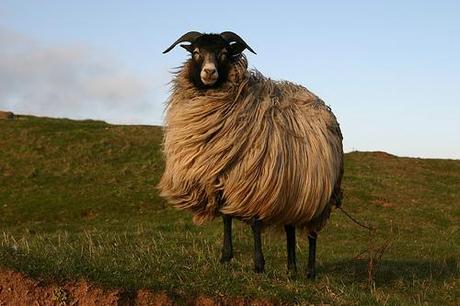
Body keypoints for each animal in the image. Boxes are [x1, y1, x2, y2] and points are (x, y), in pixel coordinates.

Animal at [158, 31, 342, 278]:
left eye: (224, 53)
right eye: (196, 52)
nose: (209, 72)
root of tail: (322, 105)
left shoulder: (254, 180)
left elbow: (255, 222)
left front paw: (258, 264)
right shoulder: (223, 178)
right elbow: (226, 217)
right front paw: (225, 257)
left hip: (320, 195)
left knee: (312, 233)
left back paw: (310, 272)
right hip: (292, 190)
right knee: (290, 228)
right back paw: (291, 268)